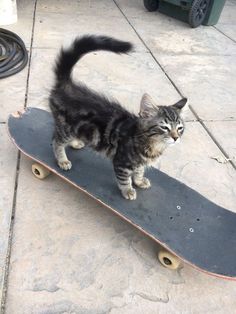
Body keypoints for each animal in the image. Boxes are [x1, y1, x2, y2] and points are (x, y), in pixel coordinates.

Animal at [48, 35, 187, 200]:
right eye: (164, 127)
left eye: (180, 128)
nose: (175, 138)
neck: (152, 145)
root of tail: (66, 85)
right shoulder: (121, 163)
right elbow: (124, 179)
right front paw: (128, 191)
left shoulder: (139, 164)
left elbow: (139, 171)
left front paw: (139, 181)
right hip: (66, 128)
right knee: (56, 141)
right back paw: (62, 160)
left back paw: (76, 143)